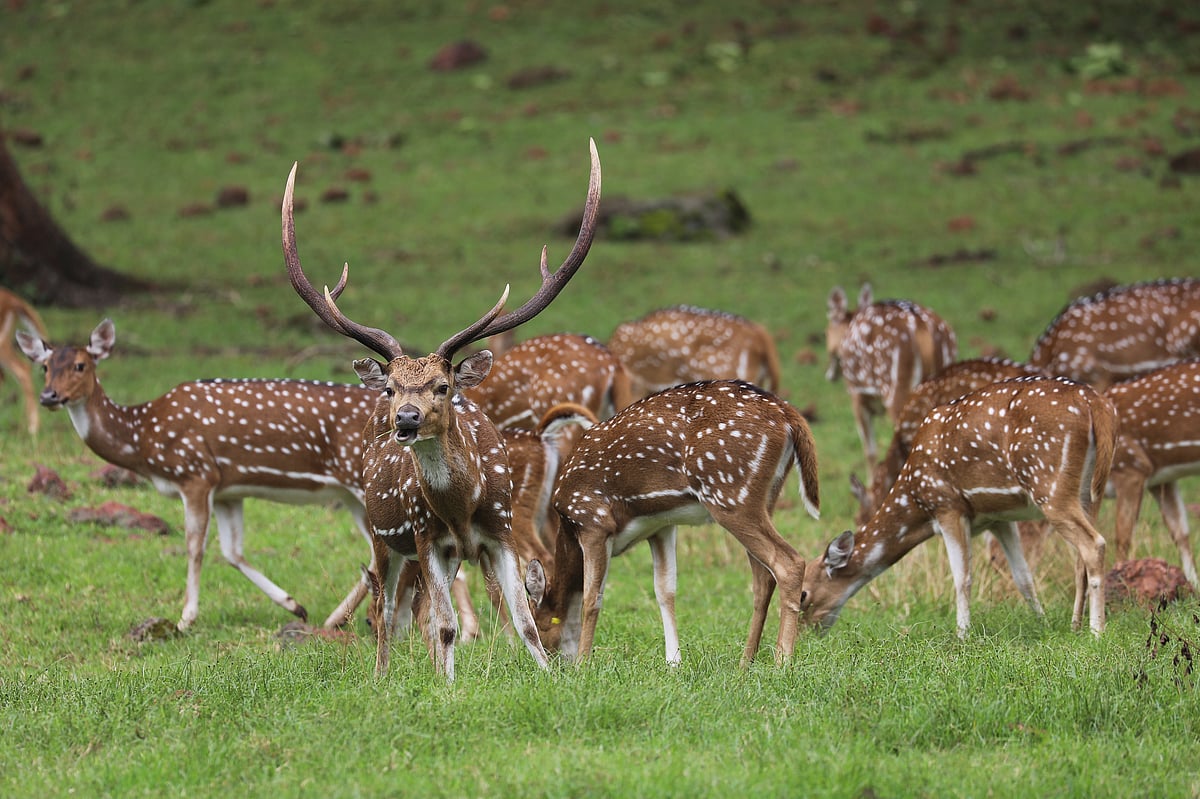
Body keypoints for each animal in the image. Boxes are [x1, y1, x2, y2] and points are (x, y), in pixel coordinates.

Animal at [13, 318, 460, 634]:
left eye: (80, 364)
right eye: (44, 366)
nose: (50, 396)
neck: (143, 438)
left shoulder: (195, 473)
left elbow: (195, 545)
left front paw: (185, 618)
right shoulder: (229, 489)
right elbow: (232, 551)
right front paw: (294, 604)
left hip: (362, 483)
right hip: (355, 493)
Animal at [282, 138, 601, 681]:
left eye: (443, 385)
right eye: (391, 388)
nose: (406, 418)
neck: (460, 508)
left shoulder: (500, 531)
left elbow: (524, 621)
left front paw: (549, 675)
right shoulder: (425, 535)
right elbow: (444, 624)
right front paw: (446, 686)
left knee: (417, 610)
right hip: (384, 535)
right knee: (387, 606)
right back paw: (382, 675)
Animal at [523, 379, 820, 667]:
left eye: (539, 626)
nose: (555, 662)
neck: (567, 525)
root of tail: (788, 415)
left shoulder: (593, 520)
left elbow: (591, 597)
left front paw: (584, 664)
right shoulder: (661, 526)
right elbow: (665, 590)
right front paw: (674, 661)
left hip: (731, 495)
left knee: (789, 563)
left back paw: (782, 661)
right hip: (764, 498)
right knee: (763, 578)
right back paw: (746, 661)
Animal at [801, 376, 1116, 637]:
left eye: (803, 594)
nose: (807, 635)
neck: (916, 499)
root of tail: (1095, 402)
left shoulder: (947, 506)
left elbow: (962, 578)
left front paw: (962, 635)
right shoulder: (999, 518)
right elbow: (1023, 577)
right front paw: (1044, 623)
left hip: (1049, 485)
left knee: (1095, 544)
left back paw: (1096, 631)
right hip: (1089, 493)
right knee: (1081, 557)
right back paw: (1075, 625)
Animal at [825, 283, 957, 470]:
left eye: (826, 332)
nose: (830, 375)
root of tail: (922, 328)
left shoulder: (857, 395)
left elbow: (870, 452)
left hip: (896, 387)